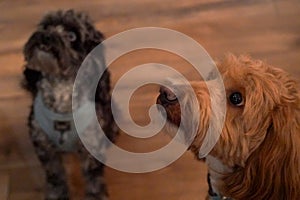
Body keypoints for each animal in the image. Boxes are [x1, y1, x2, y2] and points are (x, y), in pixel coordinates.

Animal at [22, 9, 118, 200]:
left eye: (72, 36)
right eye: (46, 26)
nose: (45, 36)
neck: (61, 90)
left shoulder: (91, 146)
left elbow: (93, 178)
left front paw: (96, 196)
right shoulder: (43, 145)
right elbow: (55, 175)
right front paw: (56, 194)